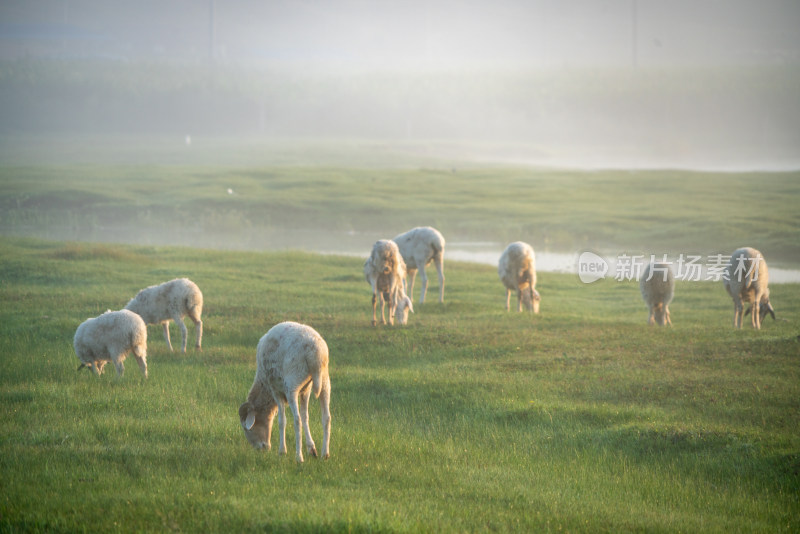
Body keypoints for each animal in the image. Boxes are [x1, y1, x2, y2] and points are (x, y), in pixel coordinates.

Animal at [238, 322, 332, 464]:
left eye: (246, 428)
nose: (261, 449)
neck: (264, 386)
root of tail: (315, 353)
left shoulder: (275, 390)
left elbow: (282, 421)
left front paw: (282, 451)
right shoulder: (305, 390)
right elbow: (305, 417)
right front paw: (311, 449)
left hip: (292, 384)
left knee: (297, 420)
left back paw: (299, 457)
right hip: (324, 381)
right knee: (326, 417)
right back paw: (325, 454)